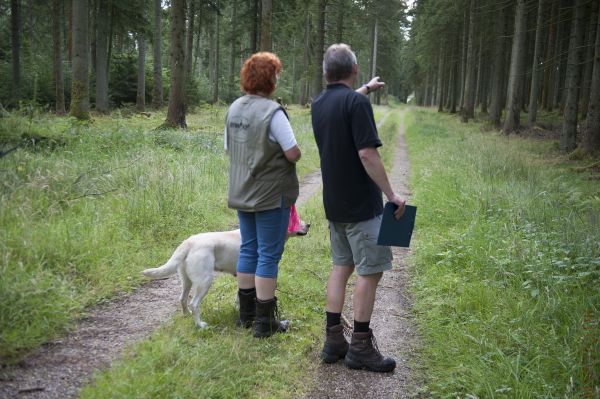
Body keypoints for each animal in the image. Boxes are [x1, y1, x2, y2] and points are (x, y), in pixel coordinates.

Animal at [142, 223, 310, 330]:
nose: (309, 224)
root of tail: (188, 242)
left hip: (186, 280)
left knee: (182, 299)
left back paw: (186, 316)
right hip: (205, 281)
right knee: (194, 304)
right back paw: (200, 325)